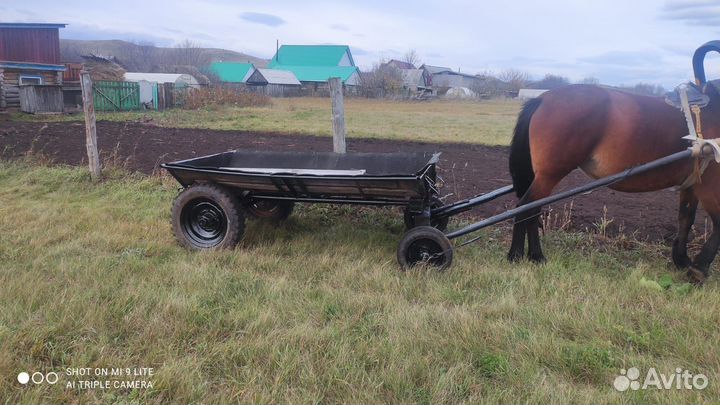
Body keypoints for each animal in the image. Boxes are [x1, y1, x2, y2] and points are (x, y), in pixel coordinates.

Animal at [507, 45, 720, 283]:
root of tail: (543, 98)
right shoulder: (710, 185)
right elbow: (719, 223)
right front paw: (699, 267)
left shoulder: (693, 182)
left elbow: (686, 218)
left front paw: (682, 260)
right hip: (548, 175)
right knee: (527, 208)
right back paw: (523, 255)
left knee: (531, 209)